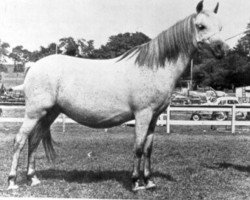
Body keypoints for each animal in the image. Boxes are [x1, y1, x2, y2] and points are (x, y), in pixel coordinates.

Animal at [7, 1, 228, 192]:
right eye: (200, 26)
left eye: (221, 26)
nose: (222, 51)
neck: (154, 68)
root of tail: (33, 66)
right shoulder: (142, 115)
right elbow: (138, 147)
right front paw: (136, 183)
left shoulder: (154, 118)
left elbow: (148, 149)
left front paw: (149, 182)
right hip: (34, 113)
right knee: (19, 140)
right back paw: (12, 182)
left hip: (49, 114)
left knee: (34, 140)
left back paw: (33, 178)